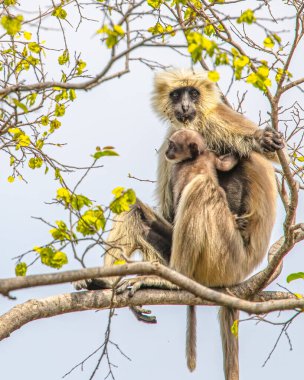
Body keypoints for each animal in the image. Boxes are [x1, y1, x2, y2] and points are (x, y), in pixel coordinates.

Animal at [76, 70, 284, 378]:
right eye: (176, 94)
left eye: (192, 94)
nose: (184, 105)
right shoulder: (170, 140)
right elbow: (166, 211)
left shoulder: (215, 119)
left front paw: (263, 139)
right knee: (134, 206)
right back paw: (107, 282)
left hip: (225, 258)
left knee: (200, 188)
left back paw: (174, 279)